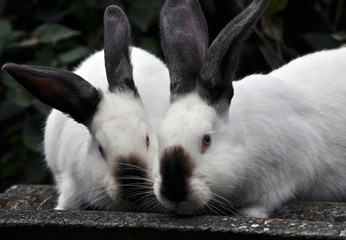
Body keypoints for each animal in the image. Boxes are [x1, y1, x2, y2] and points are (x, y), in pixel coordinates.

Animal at [153, 0, 346, 218]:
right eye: (159, 139)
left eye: (206, 140)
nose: (173, 191)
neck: (246, 139)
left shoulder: (292, 169)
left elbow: (268, 200)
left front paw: (249, 213)